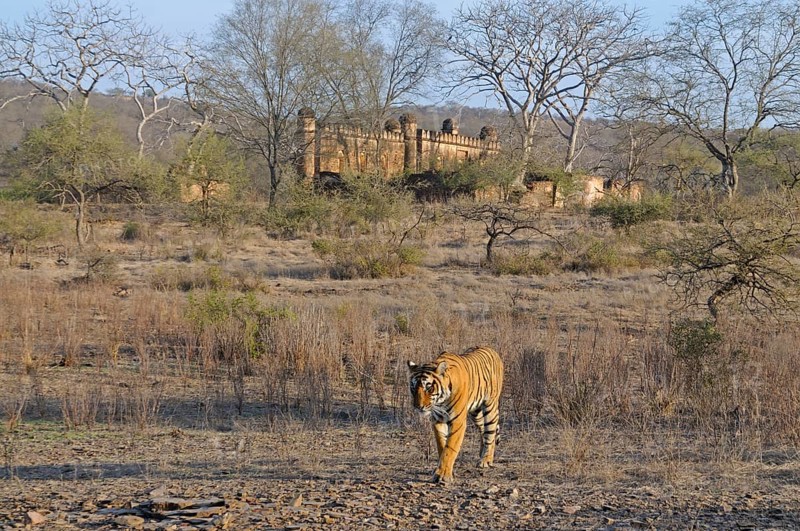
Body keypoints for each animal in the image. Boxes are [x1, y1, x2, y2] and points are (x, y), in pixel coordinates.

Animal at [407, 346, 504, 483]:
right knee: (483, 430)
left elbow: (450, 448)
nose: (418, 406)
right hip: (476, 412)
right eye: (413, 387)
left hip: (490, 406)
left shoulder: (457, 421)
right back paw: (481, 453)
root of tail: (491, 349)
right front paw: (444, 470)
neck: (440, 402)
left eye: (429, 388)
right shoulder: (438, 419)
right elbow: (442, 445)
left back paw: (486, 460)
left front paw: (443, 475)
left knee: (490, 432)